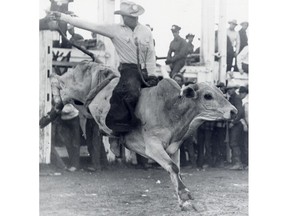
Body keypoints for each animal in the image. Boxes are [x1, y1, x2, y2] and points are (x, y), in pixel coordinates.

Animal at [40, 61, 236, 211]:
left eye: (221, 93)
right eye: (208, 96)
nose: (234, 111)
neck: (171, 109)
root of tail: (90, 64)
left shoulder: (174, 149)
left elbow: (176, 170)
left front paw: (184, 202)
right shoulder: (153, 146)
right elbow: (173, 168)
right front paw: (185, 195)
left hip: (81, 104)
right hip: (73, 89)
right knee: (55, 79)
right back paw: (50, 112)